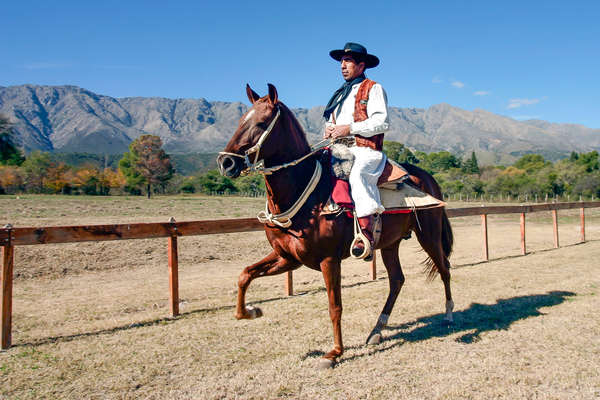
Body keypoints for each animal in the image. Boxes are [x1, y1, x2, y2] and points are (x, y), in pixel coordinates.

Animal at [218, 84, 452, 368]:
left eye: (261, 123)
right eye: (241, 120)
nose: (226, 162)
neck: (305, 191)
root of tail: (428, 178)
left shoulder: (329, 259)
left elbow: (334, 306)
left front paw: (335, 352)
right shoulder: (288, 257)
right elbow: (245, 275)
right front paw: (251, 311)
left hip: (429, 235)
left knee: (444, 268)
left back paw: (449, 315)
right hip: (390, 244)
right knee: (397, 280)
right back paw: (377, 330)